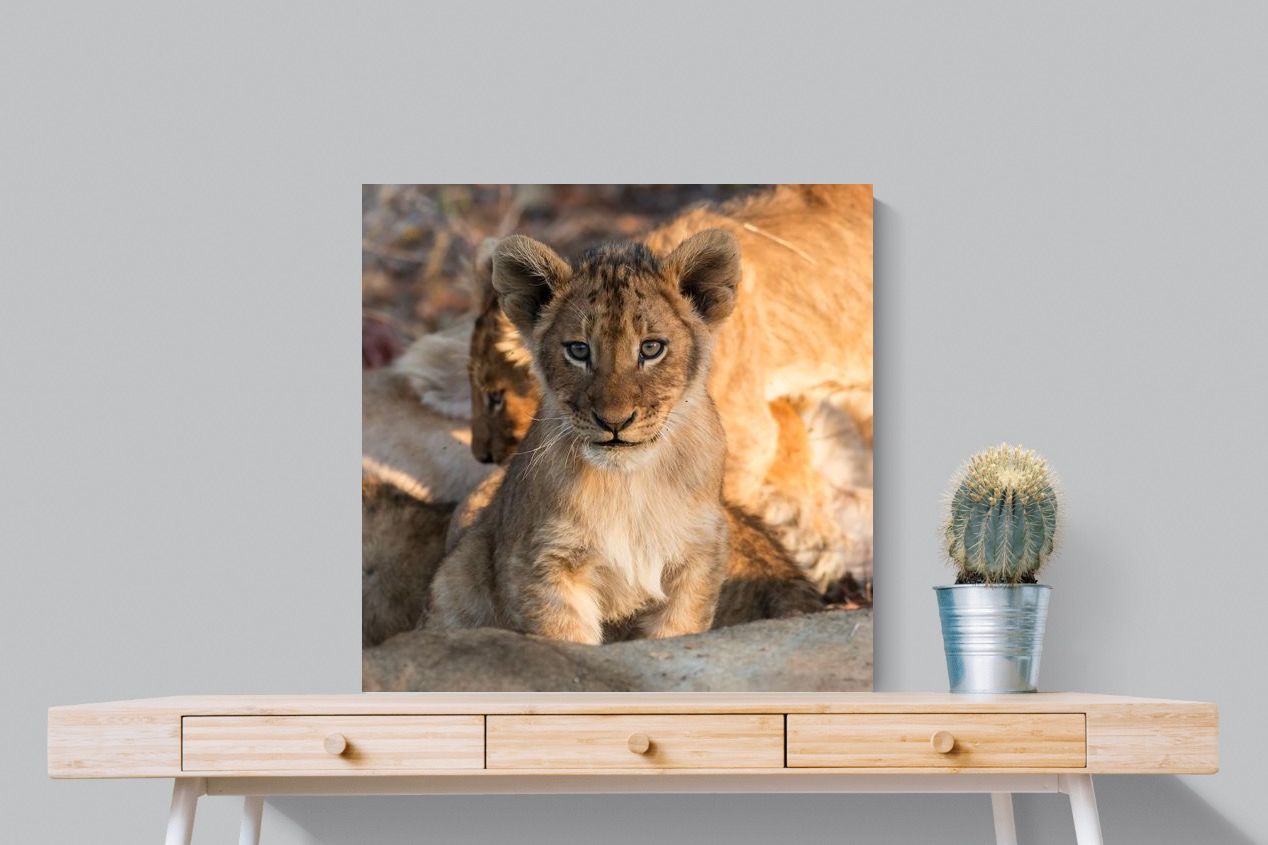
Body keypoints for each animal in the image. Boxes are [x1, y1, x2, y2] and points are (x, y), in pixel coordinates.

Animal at [427, 231, 747, 643]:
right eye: (579, 350)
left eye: (651, 348)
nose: (614, 421)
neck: (629, 484)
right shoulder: (543, 561)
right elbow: (565, 639)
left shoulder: (698, 555)